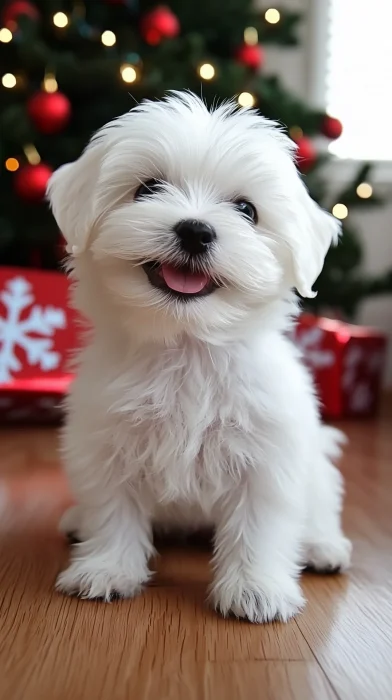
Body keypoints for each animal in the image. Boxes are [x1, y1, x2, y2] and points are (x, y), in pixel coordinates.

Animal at [48, 91, 352, 624]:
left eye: (247, 210)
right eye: (147, 188)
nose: (194, 230)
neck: (187, 344)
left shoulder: (267, 455)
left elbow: (261, 524)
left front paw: (255, 589)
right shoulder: (106, 444)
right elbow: (112, 509)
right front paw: (106, 569)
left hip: (315, 467)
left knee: (320, 505)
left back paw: (321, 546)